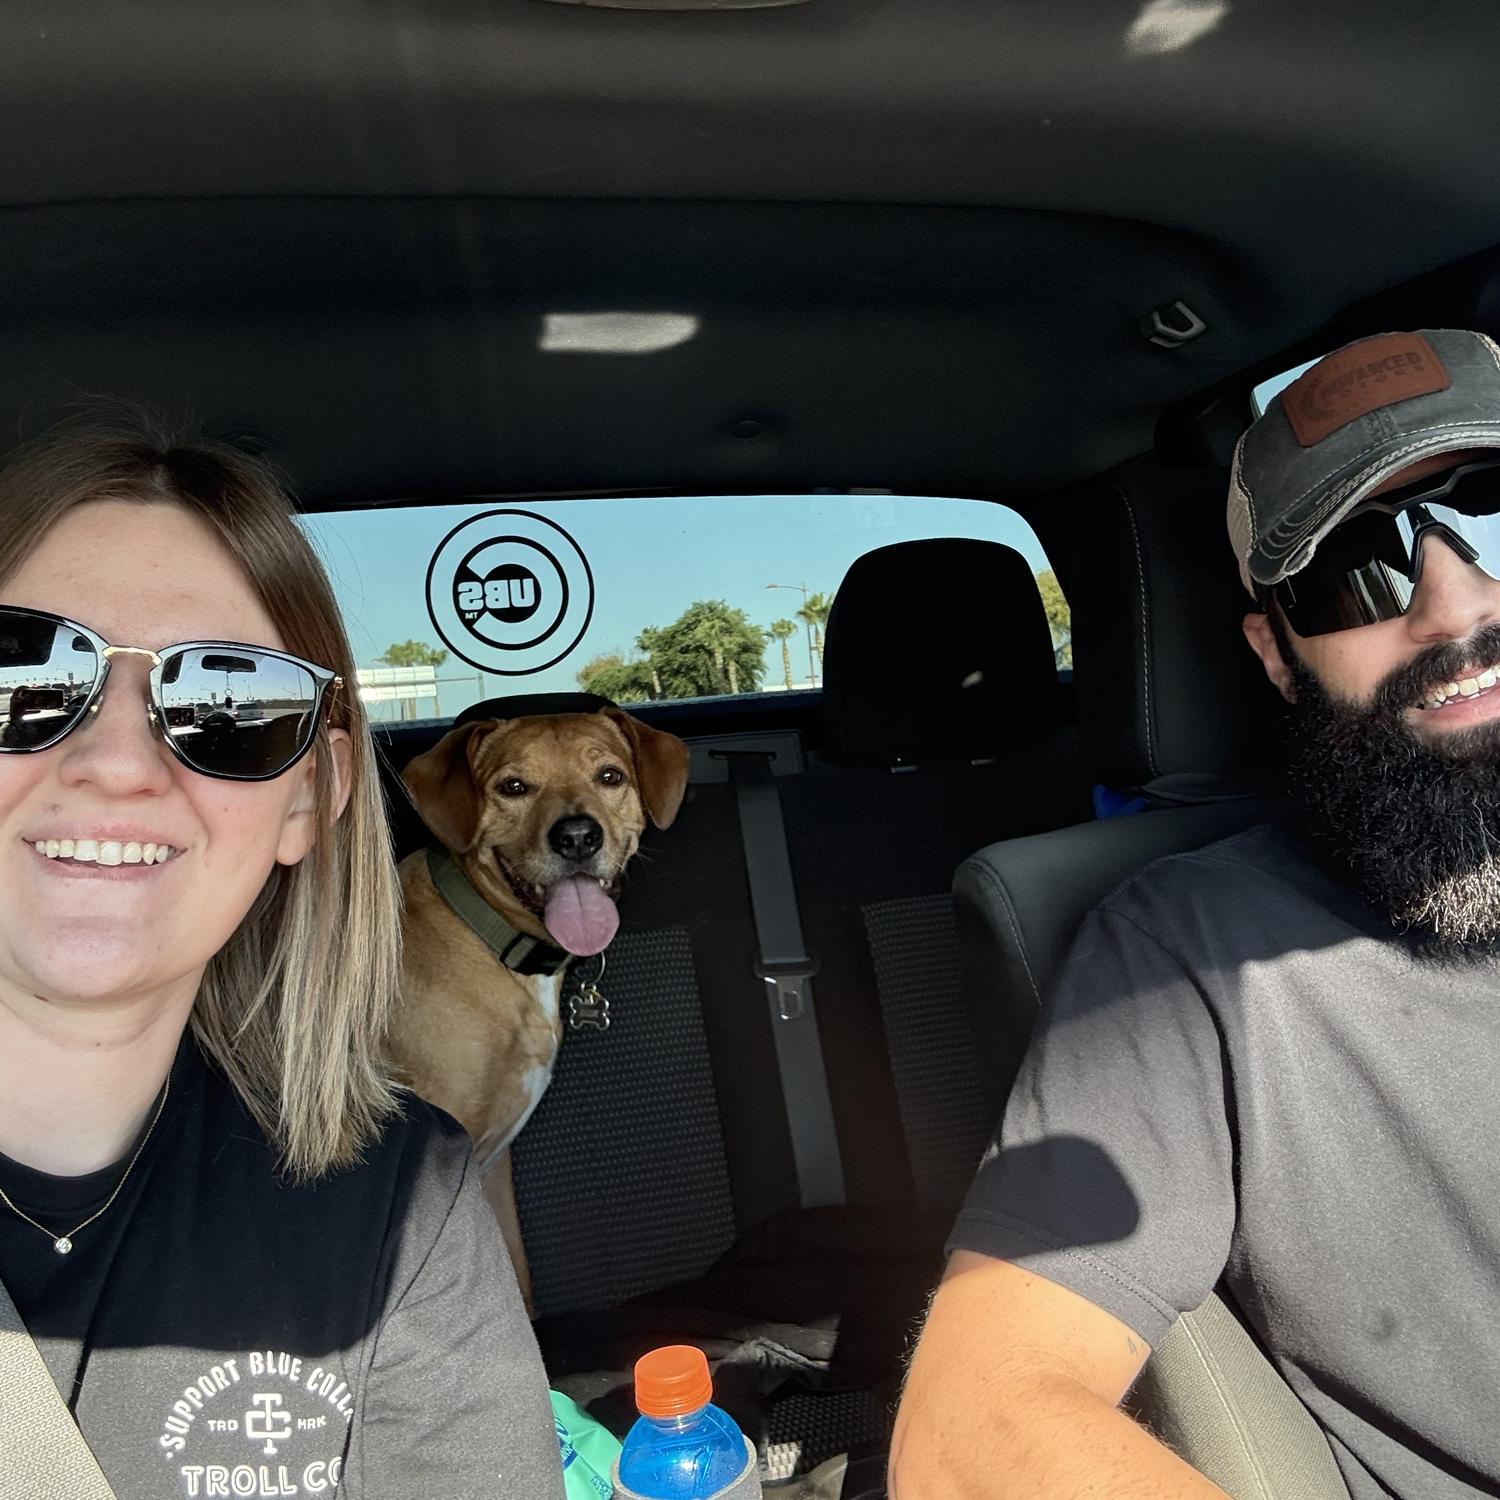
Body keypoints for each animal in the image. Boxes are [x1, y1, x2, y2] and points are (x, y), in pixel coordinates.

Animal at [388, 708, 690, 1307]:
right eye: (513, 787)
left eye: (610, 776)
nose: (577, 836)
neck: (492, 940)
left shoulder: (493, 1174)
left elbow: (519, 1282)